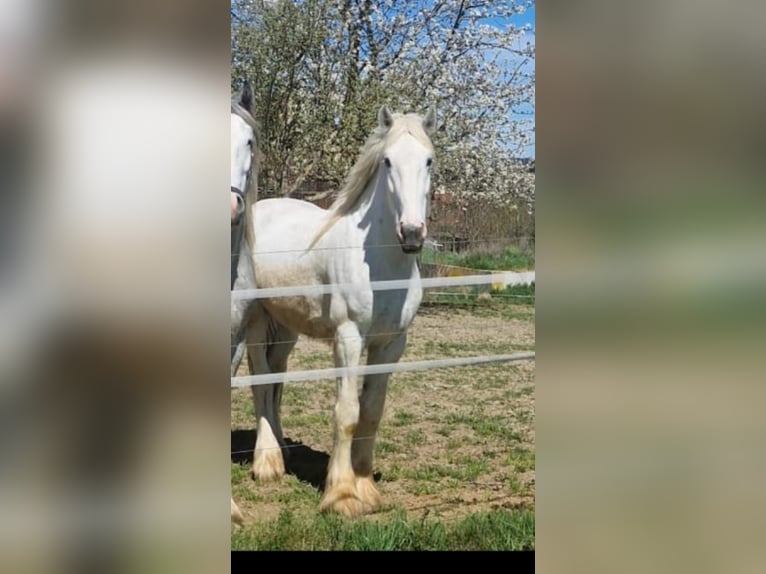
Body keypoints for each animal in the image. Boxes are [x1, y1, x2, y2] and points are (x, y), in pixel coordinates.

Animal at [244, 105, 437, 517]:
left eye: (429, 160)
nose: (412, 233)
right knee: (262, 380)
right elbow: (347, 413)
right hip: (256, 318)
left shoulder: (391, 344)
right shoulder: (348, 339)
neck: (380, 264)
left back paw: (282, 450)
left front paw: (366, 489)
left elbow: (372, 411)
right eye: (387, 161)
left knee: (278, 378)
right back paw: (267, 463)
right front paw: (342, 495)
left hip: (286, 326)